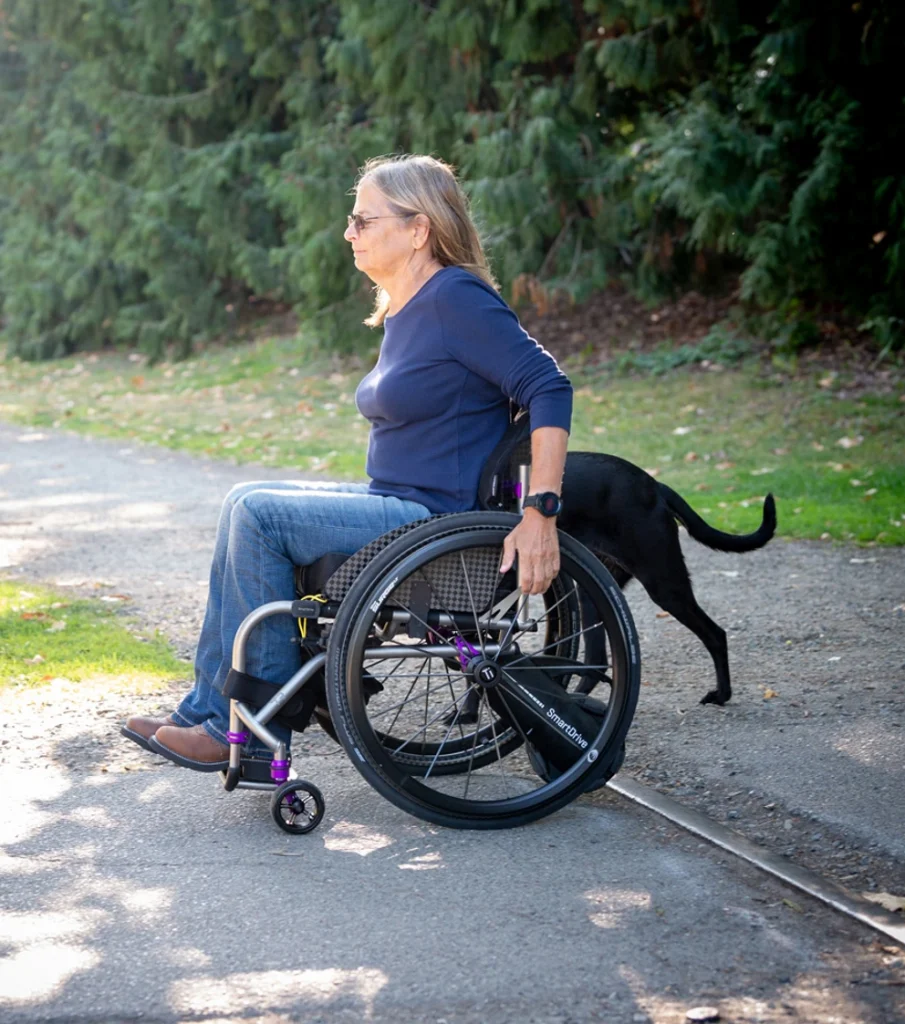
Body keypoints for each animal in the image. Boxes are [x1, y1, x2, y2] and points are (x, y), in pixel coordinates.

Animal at [556, 452, 778, 708]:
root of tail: (654, 486)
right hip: (594, 592)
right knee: (597, 660)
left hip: (664, 585)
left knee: (716, 635)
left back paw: (721, 694)